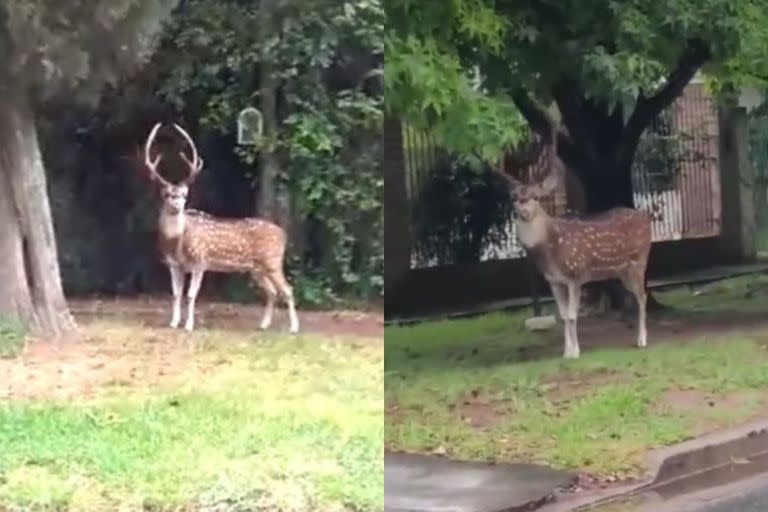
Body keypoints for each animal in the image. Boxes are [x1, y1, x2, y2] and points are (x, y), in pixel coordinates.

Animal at [142, 122, 298, 334]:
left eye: (184, 195)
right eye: (167, 194)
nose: (177, 207)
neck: (177, 243)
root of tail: (283, 233)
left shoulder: (200, 261)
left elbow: (191, 295)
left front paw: (189, 326)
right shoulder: (173, 265)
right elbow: (176, 294)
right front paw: (173, 323)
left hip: (272, 260)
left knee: (288, 289)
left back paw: (294, 328)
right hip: (256, 269)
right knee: (272, 291)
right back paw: (263, 325)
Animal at [496, 123, 652, 358]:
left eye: (536, 197)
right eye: (514, 198)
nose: (524, 212)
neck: (550, 251)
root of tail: (647, 219)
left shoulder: (575, 274)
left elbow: (571, 314)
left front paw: (574, 352)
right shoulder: (554, 281)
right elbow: (562, 316)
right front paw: (566, 351)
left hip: (638, 261)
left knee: (643, 296)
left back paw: (642, 340)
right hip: (622, 271)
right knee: (636, 296)